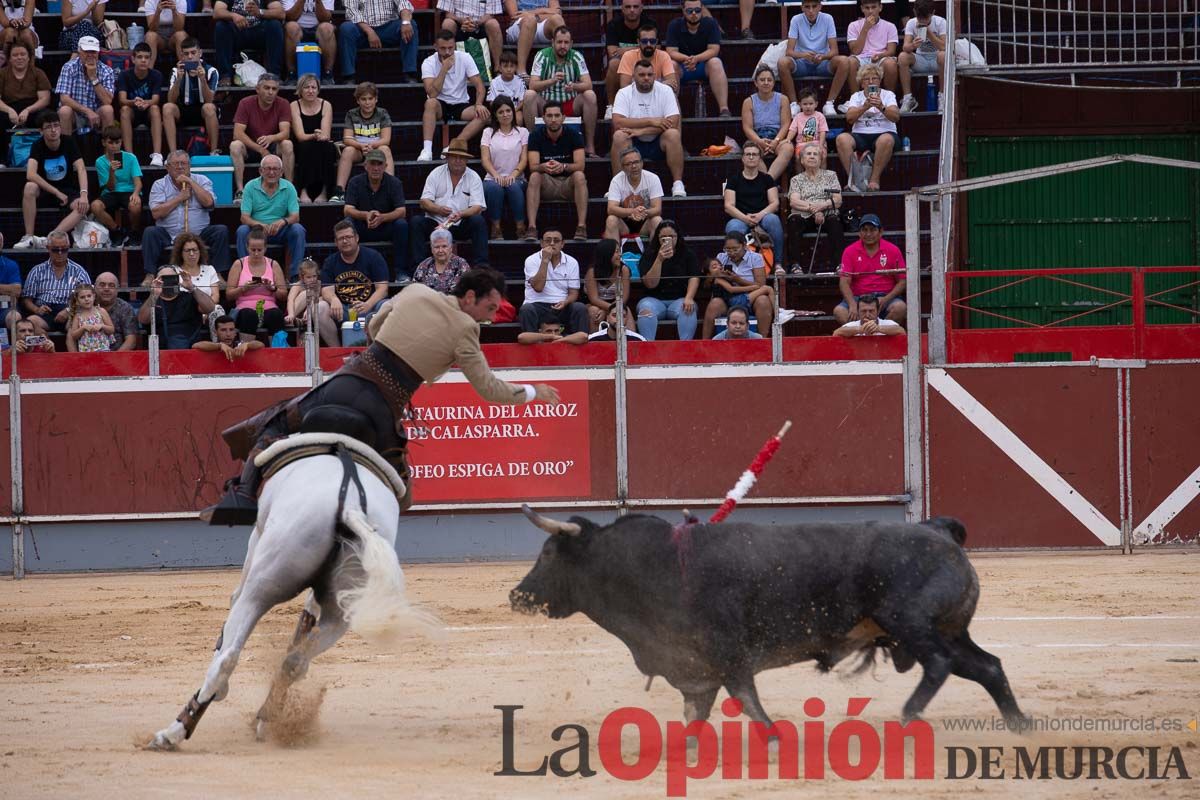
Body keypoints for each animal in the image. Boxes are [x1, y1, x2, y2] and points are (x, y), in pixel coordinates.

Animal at [147, 434, 434, 748]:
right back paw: (265, 718)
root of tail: (350, 507)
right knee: (295, 661)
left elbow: (232, 616)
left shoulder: (255, 542)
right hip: (341, 614)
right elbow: (304, 627)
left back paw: (172, 733)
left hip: (261, 587)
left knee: (229, 655)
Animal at [511, 506, 1027, 734]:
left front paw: (776, 739)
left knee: (939, 665)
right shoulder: (694, 667)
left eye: (548, 553)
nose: (517, 595)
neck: (650, 564)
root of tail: (938, 530)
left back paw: (907, 717)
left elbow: (747, 700)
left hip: (911, 624)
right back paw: (1020, 725)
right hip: (947, 630)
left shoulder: (725, 654)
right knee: (988, 667)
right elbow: (696, 714)